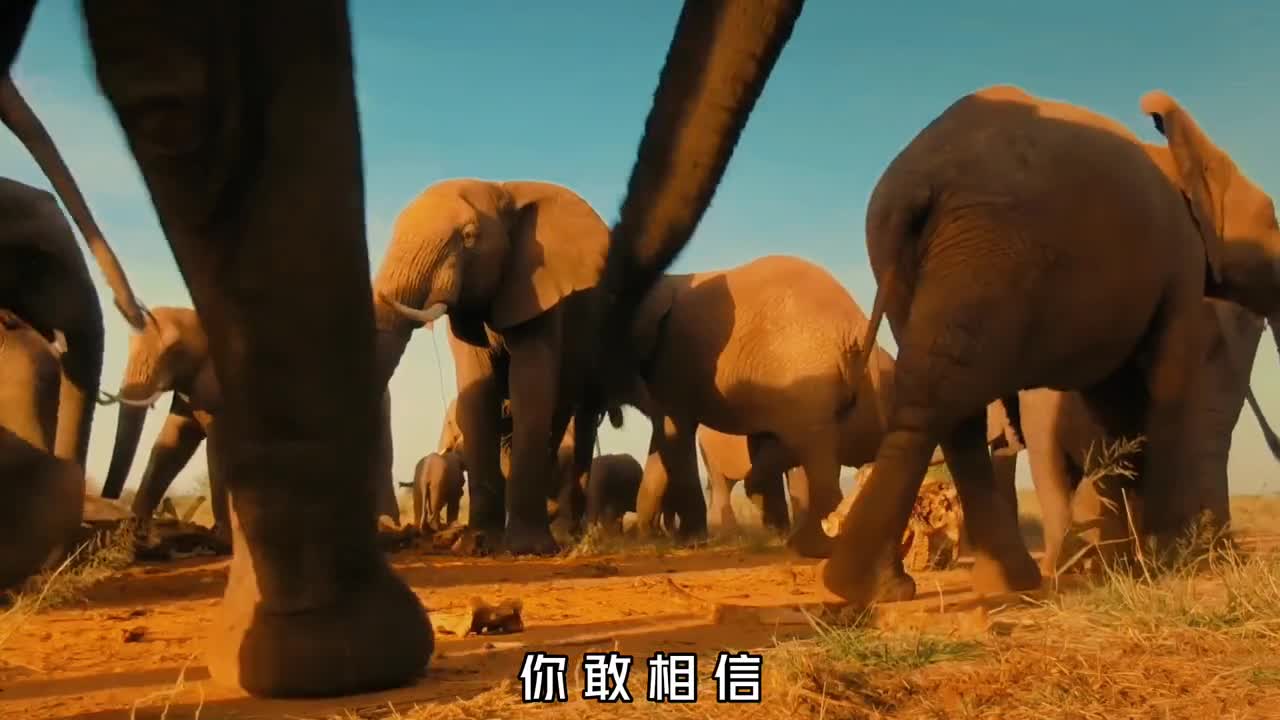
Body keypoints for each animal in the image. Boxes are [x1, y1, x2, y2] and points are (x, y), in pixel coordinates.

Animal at [98, 306, 401, 542]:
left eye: (174, 350)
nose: (108, 497)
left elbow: (216, 449)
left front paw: (221, 538)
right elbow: (172, 444)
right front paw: (133, 532)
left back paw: (385, 527)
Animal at [812, 85, 1280, 608]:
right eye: (1273, 221)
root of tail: (914, 181)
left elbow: (1111, 405)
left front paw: (1125, 565)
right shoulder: (1179, 262)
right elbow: (1165, 380)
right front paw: (1160, 562)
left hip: (926, 257)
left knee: (952, 406)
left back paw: (987, 584)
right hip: (990, 247)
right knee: (944, 394)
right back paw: (871, 587)